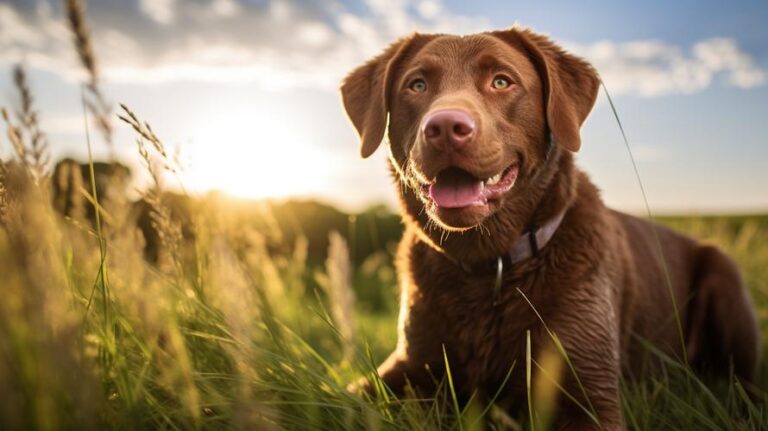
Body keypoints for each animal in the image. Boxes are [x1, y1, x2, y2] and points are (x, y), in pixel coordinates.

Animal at [340, 27, 756, 428]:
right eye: (417, 85)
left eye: (502, 81)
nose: (444, 126)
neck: (491, 267)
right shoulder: (405, 366)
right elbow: (345, 395)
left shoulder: (589, 396)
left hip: (724, 276)